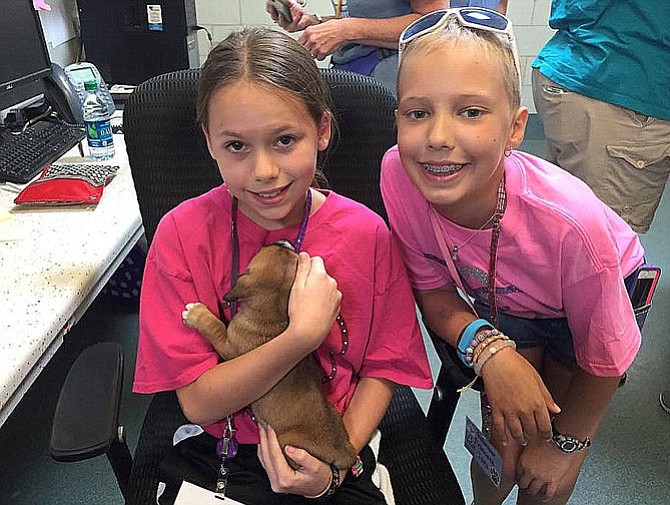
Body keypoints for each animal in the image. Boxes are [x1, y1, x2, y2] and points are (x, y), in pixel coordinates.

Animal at [181, 240, 360, 468]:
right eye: (288, 253)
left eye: (274, 248)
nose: (282, 241)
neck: (272, 314)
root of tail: (345, 452)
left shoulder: (229, 348)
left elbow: (215, 326)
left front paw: (196, 314)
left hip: (287, 443)